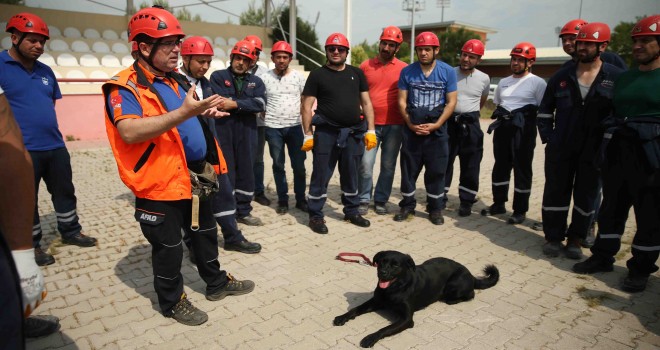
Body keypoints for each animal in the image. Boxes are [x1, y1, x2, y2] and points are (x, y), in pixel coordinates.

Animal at [332, 250, 498, 346]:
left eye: (395, 265)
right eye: (381, 262)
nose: (382, 273)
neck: (394, 289)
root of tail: (470, 274)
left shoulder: (406, 319)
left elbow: (385, 329)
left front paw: (370, 338)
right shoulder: (376, 301)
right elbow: (355, 309)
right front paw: (342, 317)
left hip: (454, 285)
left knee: (471, 294)